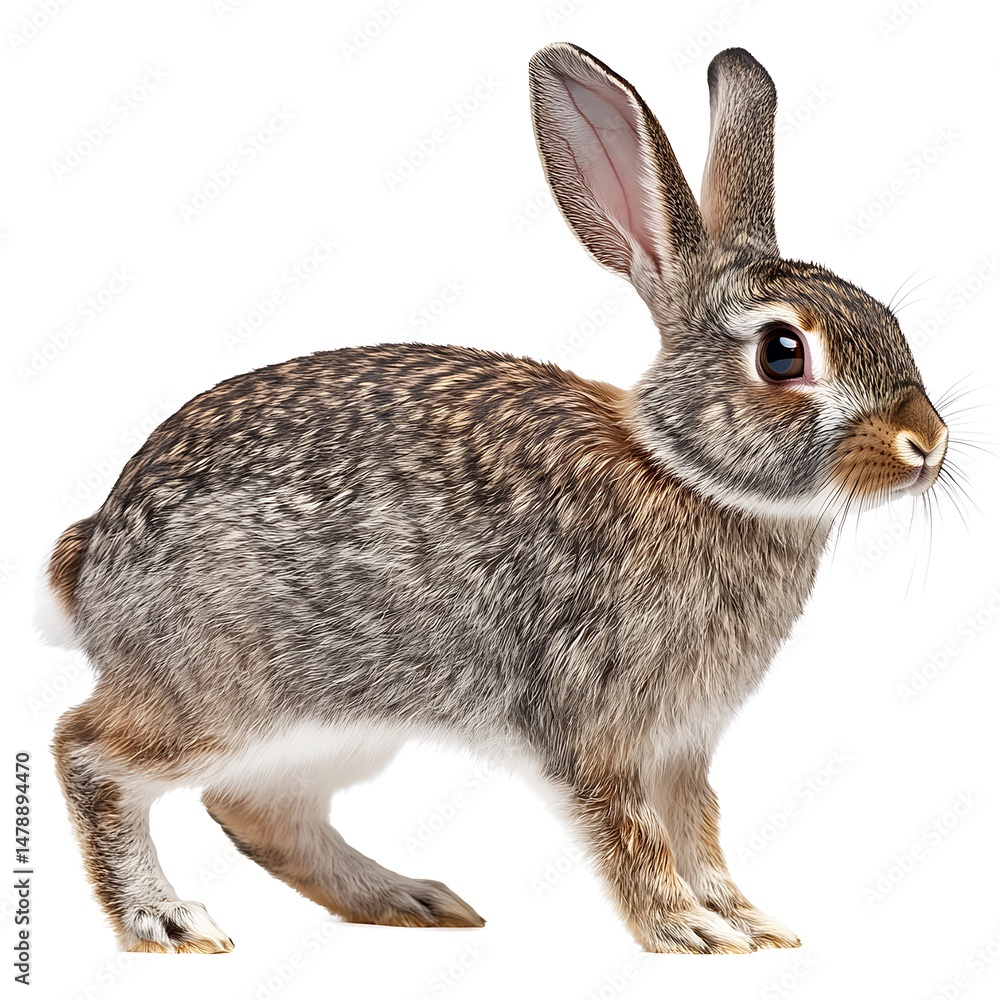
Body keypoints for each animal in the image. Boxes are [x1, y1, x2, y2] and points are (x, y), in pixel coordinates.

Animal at [40, 42, 948, 956]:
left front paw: (750, 921)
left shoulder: (682, 747)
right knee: (89, 755)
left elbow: (700, 829)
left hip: (334, 732)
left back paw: (410, 900)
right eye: (782, 352)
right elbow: (633, 834)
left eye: (887, 316)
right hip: (222, 698)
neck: (684, 473)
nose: (928, 443)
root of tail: (93, 554)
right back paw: (165, 919)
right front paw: (687, 930)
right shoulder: (593, 723)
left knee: (257, 809)